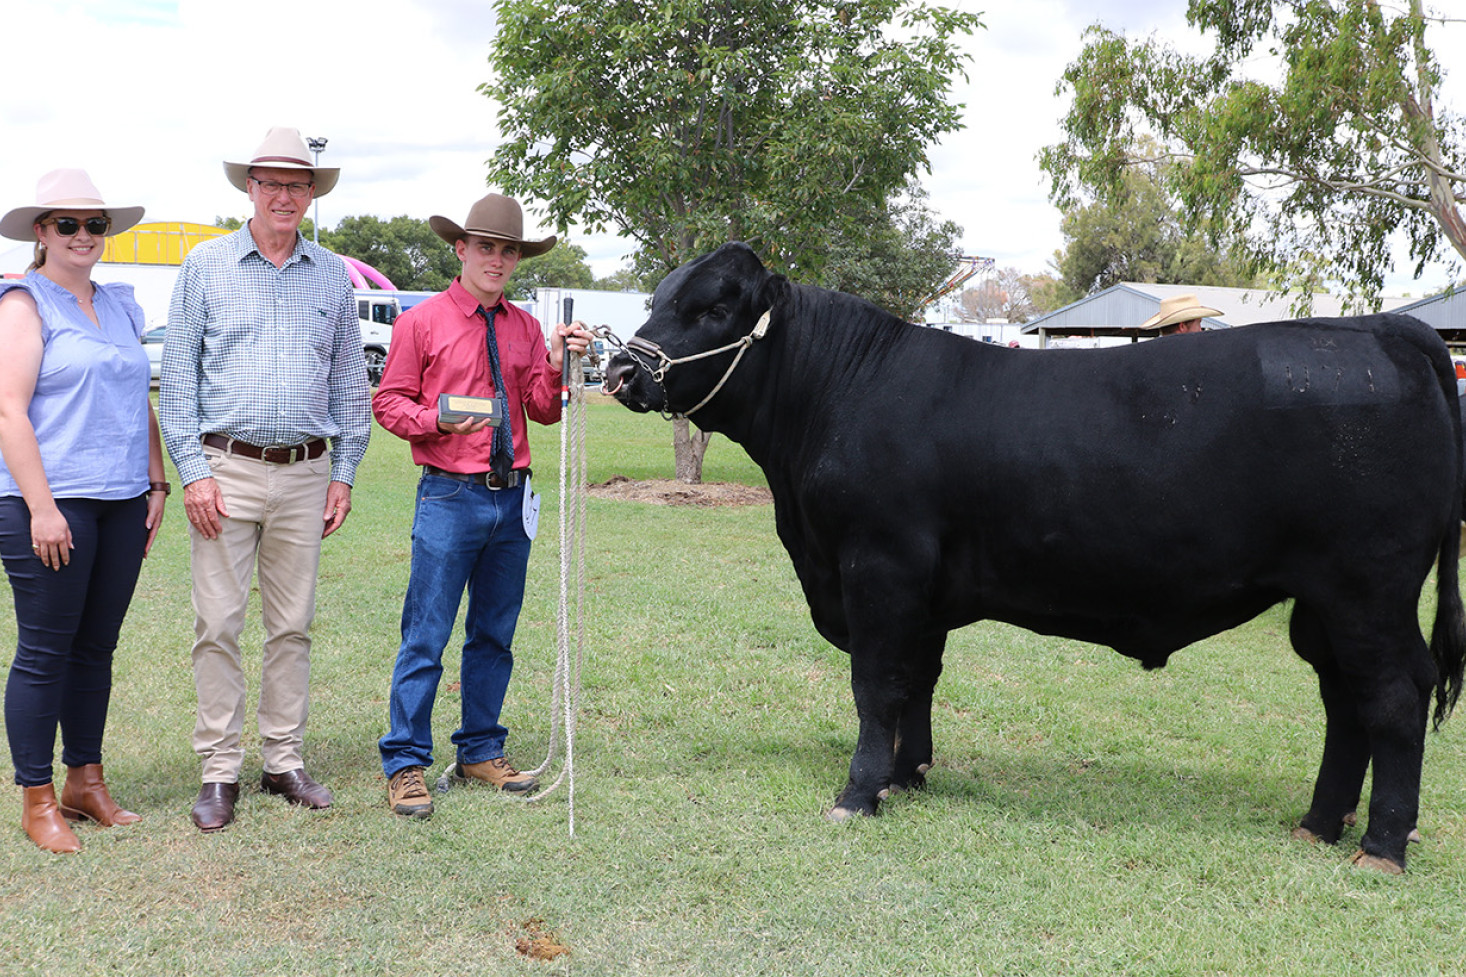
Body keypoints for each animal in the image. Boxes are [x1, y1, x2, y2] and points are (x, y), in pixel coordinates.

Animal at [601, 242, 1460, 868]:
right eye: (657, 297)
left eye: (714, 306)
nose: (620, 368)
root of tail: (1384, 328)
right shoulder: (921, 594)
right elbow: (917, 681)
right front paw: (908, 776)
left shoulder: (878, 568)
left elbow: (875, 685)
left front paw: (857, 793)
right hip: (1324, 604)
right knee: (1345, 699)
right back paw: (1319, 822)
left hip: (1367, 589)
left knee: (1393, 695)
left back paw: (1382, 845)